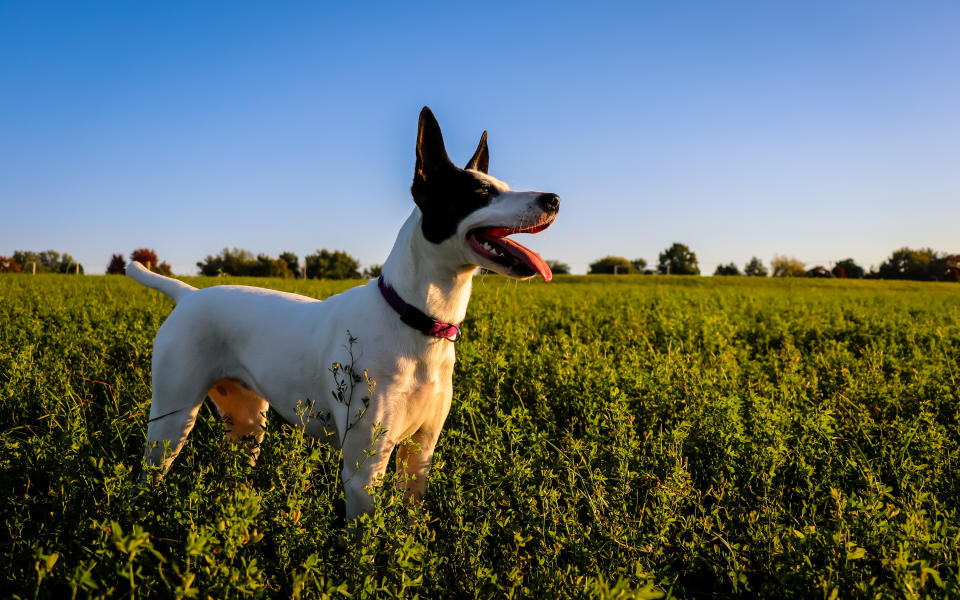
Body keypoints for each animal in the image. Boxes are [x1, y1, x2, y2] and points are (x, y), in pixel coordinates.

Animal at [129, 106, 564, 516]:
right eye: (481, 193)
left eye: (504, 187)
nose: (554, 199)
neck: (415, 318)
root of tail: (188, 294)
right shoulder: (364, 473)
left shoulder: (420, 456)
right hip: (171, 421)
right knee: (149, 472)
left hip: (247, 421)